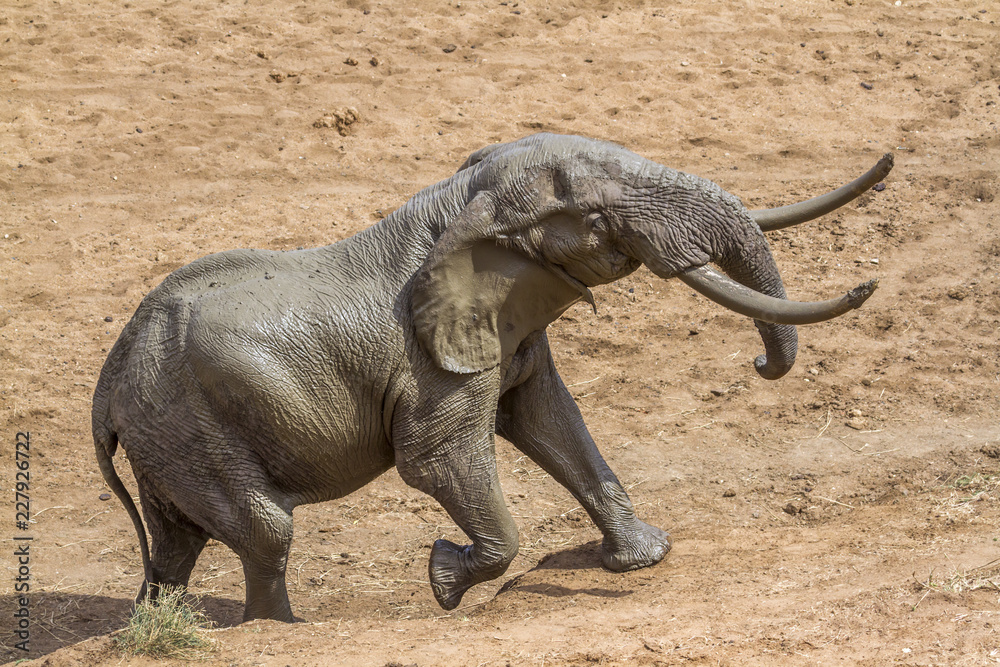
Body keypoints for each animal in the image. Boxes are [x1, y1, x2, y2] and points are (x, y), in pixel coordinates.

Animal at [93, 133, 890, 622]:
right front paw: (445, 581)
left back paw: (158, 625)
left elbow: (549, 420)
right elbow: (435, 457)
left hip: (171, 433)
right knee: (265, 530)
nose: (759, 363)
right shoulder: (429, 361)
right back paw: (281, 632)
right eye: (594, 214)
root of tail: (105, 386)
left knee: (177, 543)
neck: (458, 201)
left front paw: (643, 558)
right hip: (190, 420)